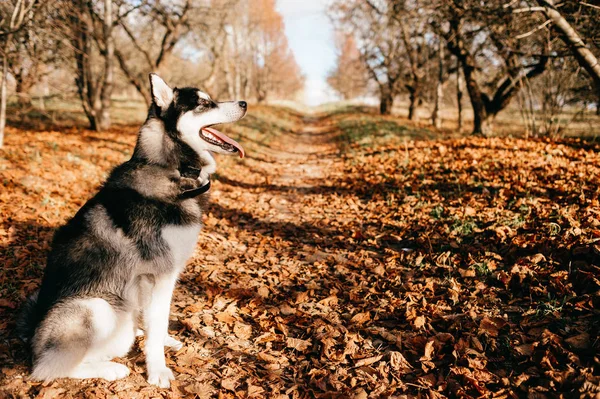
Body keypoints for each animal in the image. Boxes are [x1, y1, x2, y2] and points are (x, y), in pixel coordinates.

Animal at [17, 74, 246, 388]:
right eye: (203, 103)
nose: (244, 103)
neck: (171, 169)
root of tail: (31, 339)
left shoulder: (165, 278)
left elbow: (158, 320)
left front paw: (161, 341)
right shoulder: (158, 274)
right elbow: (157, 324)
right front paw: (158, 369)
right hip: (96, 309)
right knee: (48, 369)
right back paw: (110, 369)